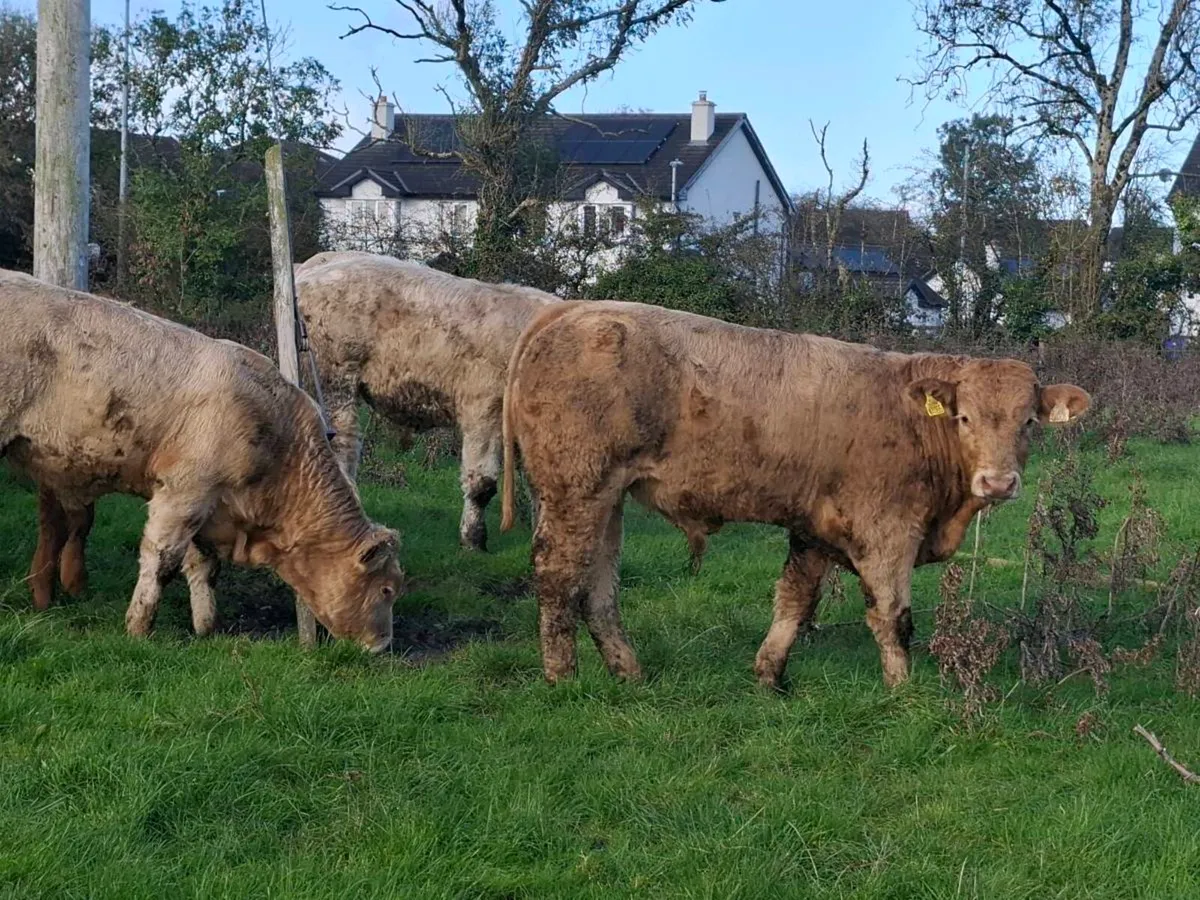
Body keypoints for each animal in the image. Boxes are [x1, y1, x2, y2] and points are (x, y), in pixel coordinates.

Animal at [0, 269, 402, 650]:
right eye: (387, 590)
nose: (382, 645)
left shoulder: (209, 506)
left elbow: (203, 566)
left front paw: (206, 627)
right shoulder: (183, 493)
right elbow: (162, 562)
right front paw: (139, 629)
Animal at [293, 250, 560, 551]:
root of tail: (311, 268)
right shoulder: (484, 409)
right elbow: (481, 484)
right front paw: (473, 540)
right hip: (335, 378)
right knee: (342, 445)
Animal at [499, 301, 1091, 687]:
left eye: (1029, 422)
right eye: (964, 417)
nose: (998, 482)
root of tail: (572, 310)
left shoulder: (814, 529)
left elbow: (794, 601)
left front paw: (769, 675)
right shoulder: (887, 531)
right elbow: (893, 618)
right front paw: (904, 693)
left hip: (607, 498)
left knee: (598, 589)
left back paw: (630, 673)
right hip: (576, 489)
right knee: (558, 577)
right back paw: (562, 678)